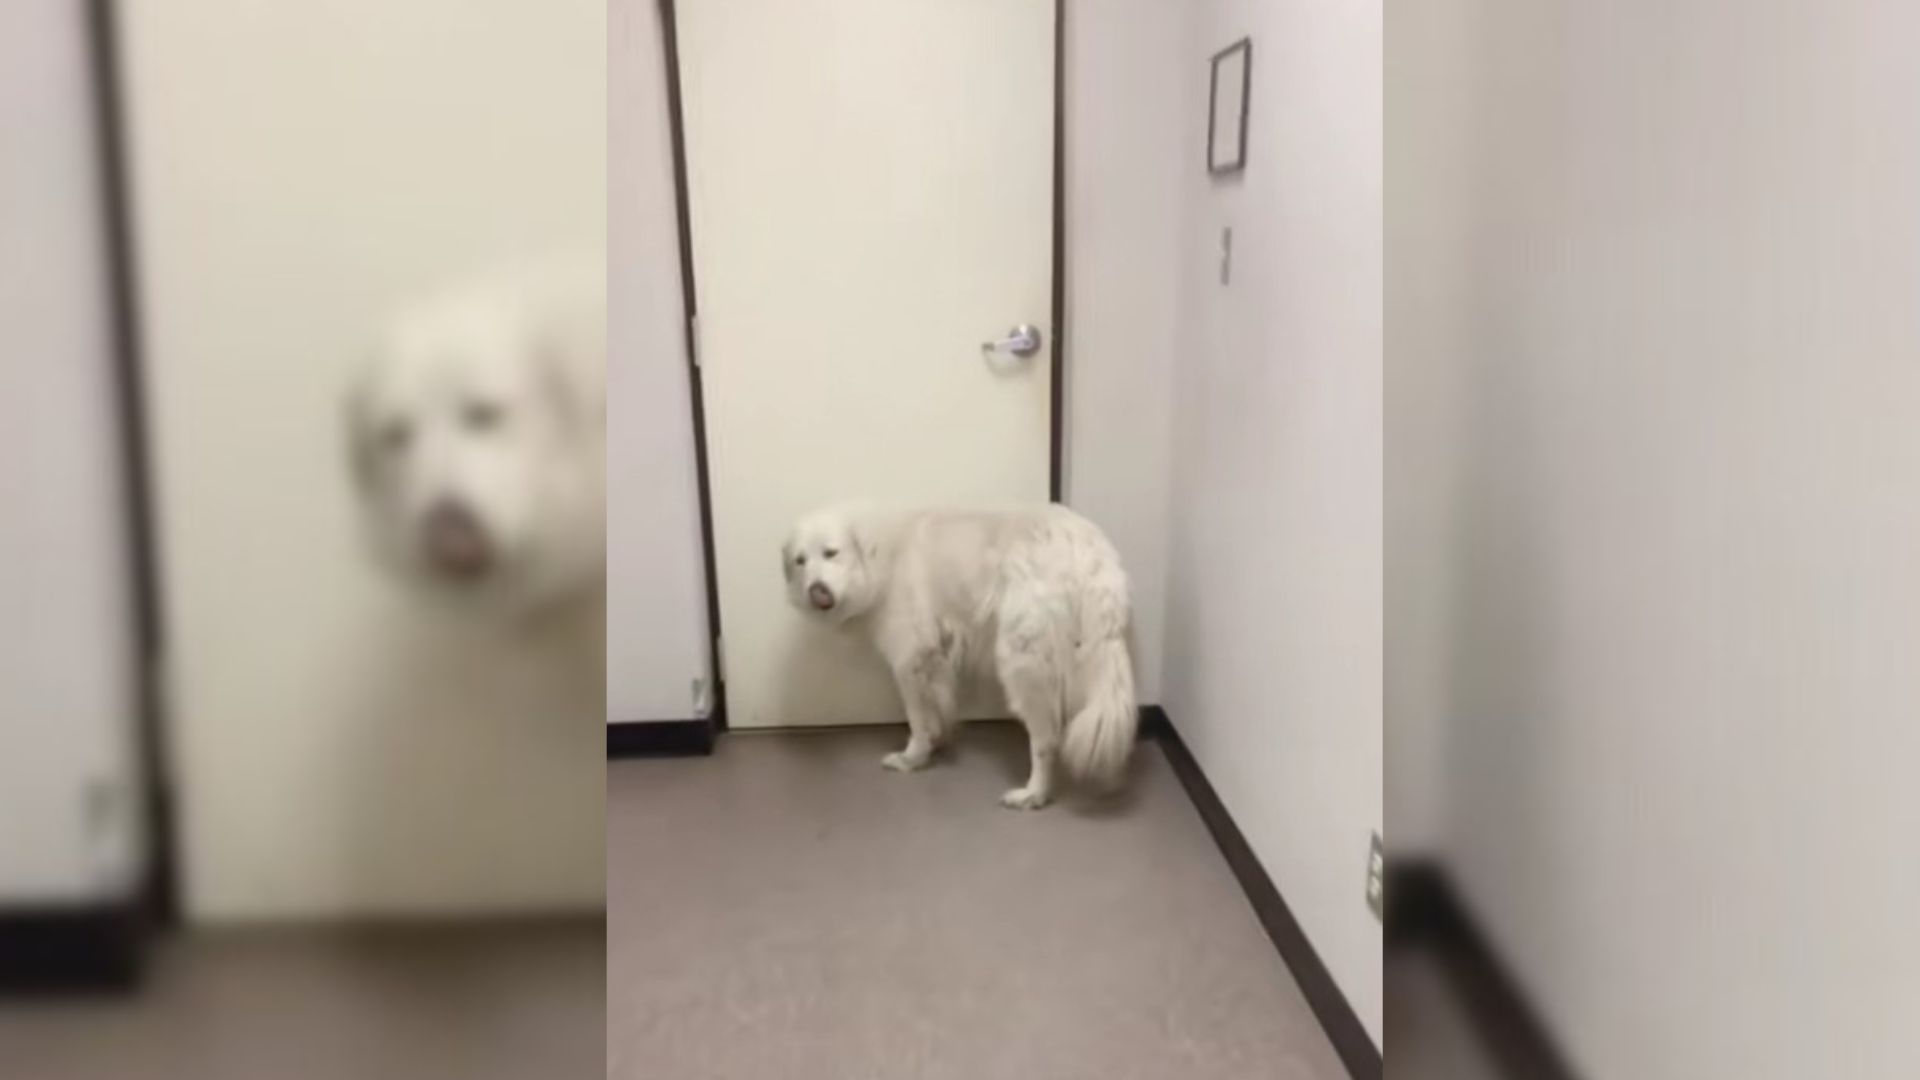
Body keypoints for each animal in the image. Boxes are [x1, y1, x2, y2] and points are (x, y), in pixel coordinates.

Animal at [783, 499, 1136, 803]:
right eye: (800, 561)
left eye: (831, 553)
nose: (816, 591)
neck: (876, 554)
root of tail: (1088, 547)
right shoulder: (935, 657)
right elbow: (938, 708)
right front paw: (935, 744)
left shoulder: (909, 658)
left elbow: (917, 718)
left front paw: (912, 757)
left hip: (1022, 662)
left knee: (1046, 740)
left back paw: (1032, 794)